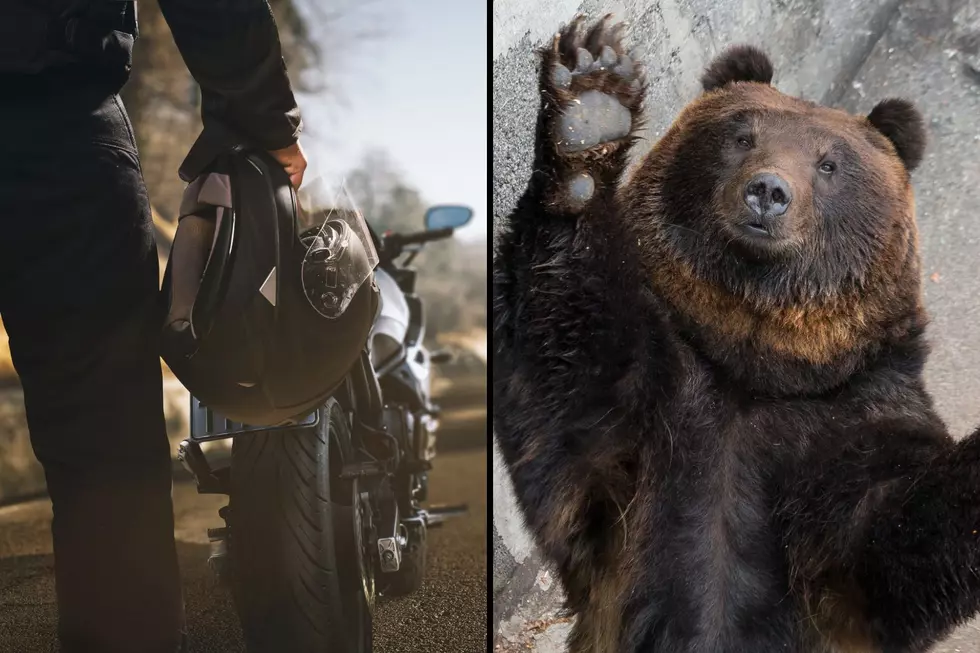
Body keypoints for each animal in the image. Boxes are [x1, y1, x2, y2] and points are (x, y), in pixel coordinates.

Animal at [490, 14, 980, 653]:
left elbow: (883, 535)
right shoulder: (648, 416)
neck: (756, 361)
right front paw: (591, 106)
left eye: (829, 164)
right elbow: (567, 375)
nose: (768, 191)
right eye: (742, 136)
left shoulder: (854, 411)